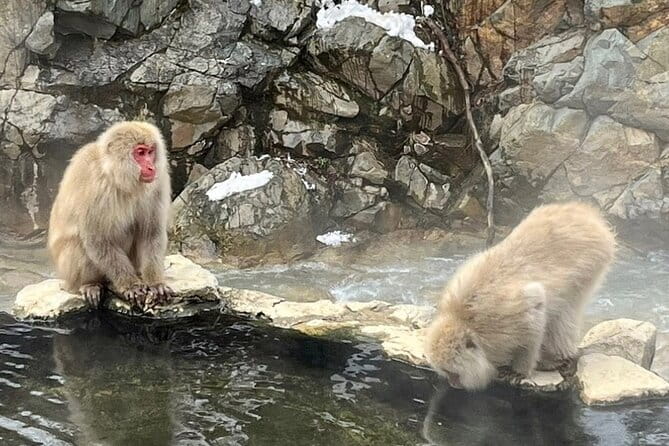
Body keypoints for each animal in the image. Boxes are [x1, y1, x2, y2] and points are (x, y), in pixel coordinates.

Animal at [47, 121, 172, 310]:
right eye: (140, 152)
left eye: (150, 152)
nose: (151, 167)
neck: (116, 176)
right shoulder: (94, 187)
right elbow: (97, 240)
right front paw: (131, 285)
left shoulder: (158, 182)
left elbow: (151, 233)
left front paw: (155, 283)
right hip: (67, 270)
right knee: (79, 244)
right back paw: (90, 284)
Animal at [424, 201, 616, 391]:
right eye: (445, 372)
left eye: (452, 372)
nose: (452, 383)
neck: (463, 318)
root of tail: (586, 213)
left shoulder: (506, 317)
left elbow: (536, 309)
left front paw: (520, 370)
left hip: (591, 262)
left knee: (567, 308)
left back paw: (557, 357)